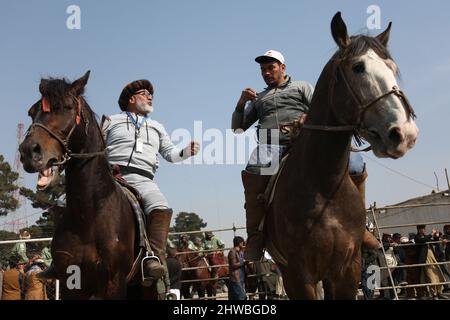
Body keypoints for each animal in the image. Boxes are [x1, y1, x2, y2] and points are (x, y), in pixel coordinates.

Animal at [18, 72, 155, 300]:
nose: (29, 151)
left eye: (67, 107)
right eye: (31, 113)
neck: (89, 215)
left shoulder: (114, 283)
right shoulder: (71, 284)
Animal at [264, 11, 418, 298]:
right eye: (358, 67)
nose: (404, 133)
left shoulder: (347, 270)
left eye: (392, 68)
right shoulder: (300, 275)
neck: (323, 186)